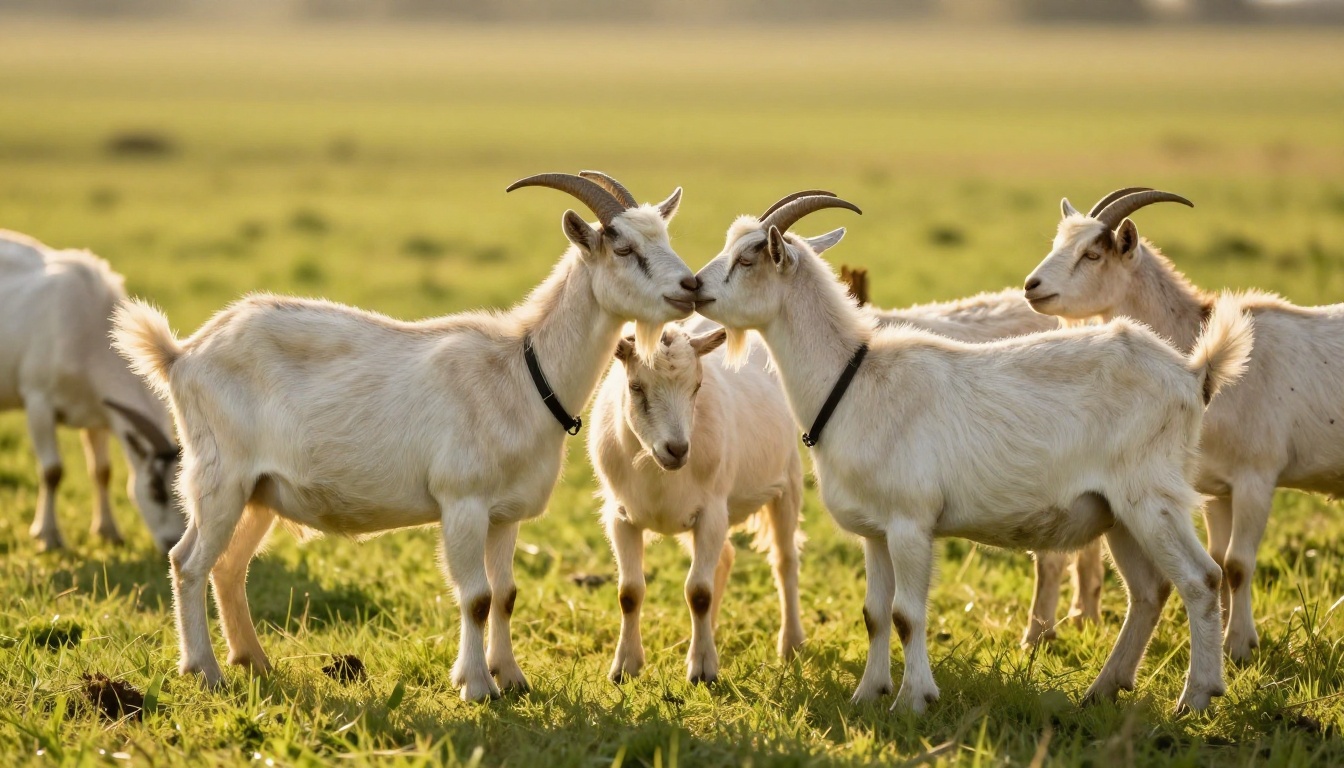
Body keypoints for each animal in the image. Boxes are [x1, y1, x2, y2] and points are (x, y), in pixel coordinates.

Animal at [0, 230, 184, 552]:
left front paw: (108, 531)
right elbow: (52, 471)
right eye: (155, 491)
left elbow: (102, 472)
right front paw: (48, 536)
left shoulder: (98, 413)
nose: (172, 544)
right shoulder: (38, 401)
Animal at [112, 173, 697, 701]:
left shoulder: (505, 514)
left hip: (259, 492)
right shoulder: (462, 502)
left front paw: (511, 678)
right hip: (219, 477)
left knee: (229, 568)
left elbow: (505, 594)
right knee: (188, 563)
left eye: (666, 238)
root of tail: (181, 355)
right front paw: (477, 687)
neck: (524, 371)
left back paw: (253, 661)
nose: (690, 286)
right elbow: (476, 597)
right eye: (623, 247)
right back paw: (205, 671)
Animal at [588, 320, 804, 685]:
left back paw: (791, 644)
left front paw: (702, 670)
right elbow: (629, 592)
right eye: (636, 386)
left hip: (787, 481)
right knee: (726, 557)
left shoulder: (712, 512)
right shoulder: (620, 516)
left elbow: (698, 592)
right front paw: (624, 667)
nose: (676, 449)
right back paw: (711, 630)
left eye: (697, 386)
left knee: (784, 560)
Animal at [693, 192, 1252, 713]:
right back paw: (1103, 689)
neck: (852, 380)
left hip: (1152, 496)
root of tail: (1192, 374)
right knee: (1148, 590)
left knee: (1200, 578)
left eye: (749, 258)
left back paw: (1196, 696)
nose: (695, 287)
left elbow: (907, 615)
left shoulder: (911, 523)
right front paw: (868, 694)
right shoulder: (874, 532)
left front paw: (914, 699)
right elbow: (875, 615)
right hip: (1117, 511)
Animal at [1025, 187, 1344, 661]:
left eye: (1093, 254)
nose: (1032, 286)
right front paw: (1230, 642)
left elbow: (1238, 564)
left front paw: (1239, 646)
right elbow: (1220, 559)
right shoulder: (1216, 489)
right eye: (1058, 243)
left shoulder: (1257, 478)